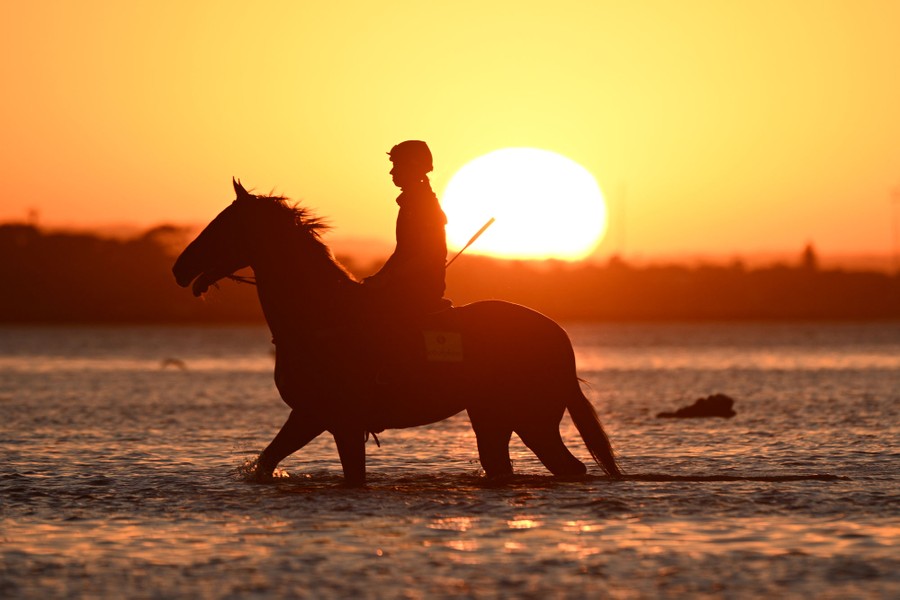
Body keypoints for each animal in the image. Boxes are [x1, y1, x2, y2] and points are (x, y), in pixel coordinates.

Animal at [173, 179, 620, 486]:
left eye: (225, 224)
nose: (179, 268)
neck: (318, 318)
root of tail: (557, 334)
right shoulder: (319, 419)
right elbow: (268, 461)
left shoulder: (328, 418)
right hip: (495, 419)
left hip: (531, 420)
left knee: (569, 467)